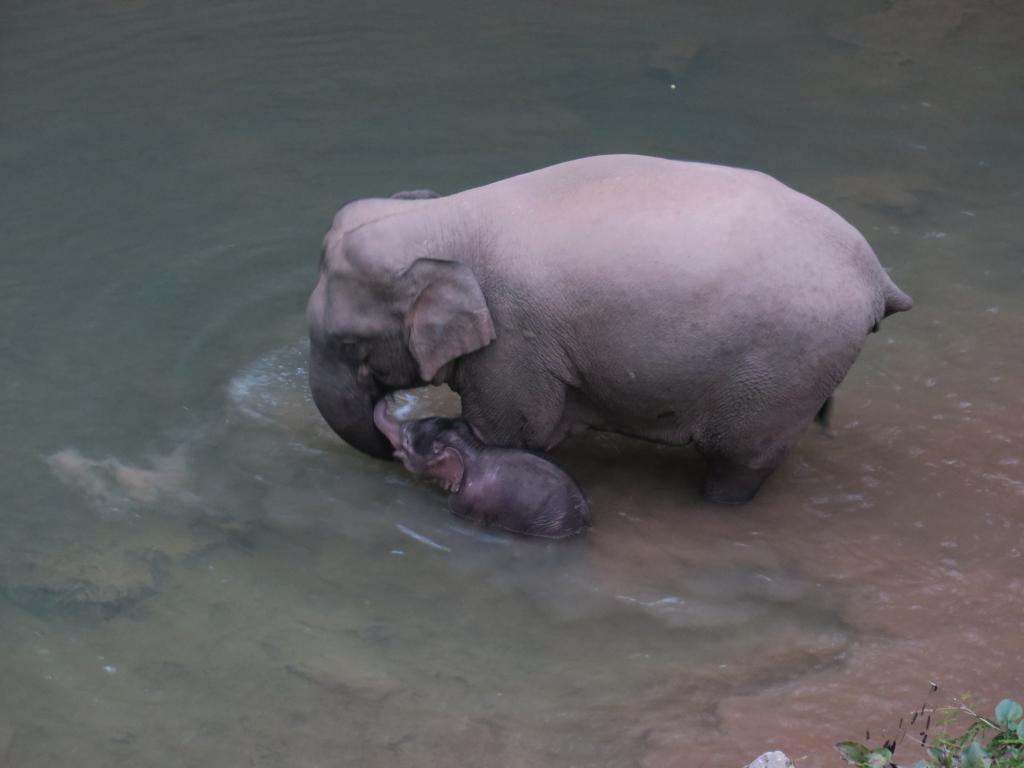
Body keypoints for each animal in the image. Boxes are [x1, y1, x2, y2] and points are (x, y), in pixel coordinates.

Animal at [305, 155, 913, 505]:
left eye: (350, 346)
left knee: (740, 465)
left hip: (784, 376)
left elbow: (508, 432)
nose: (392, 427)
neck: (449, 217)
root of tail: (876, 276)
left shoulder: (514, 341)